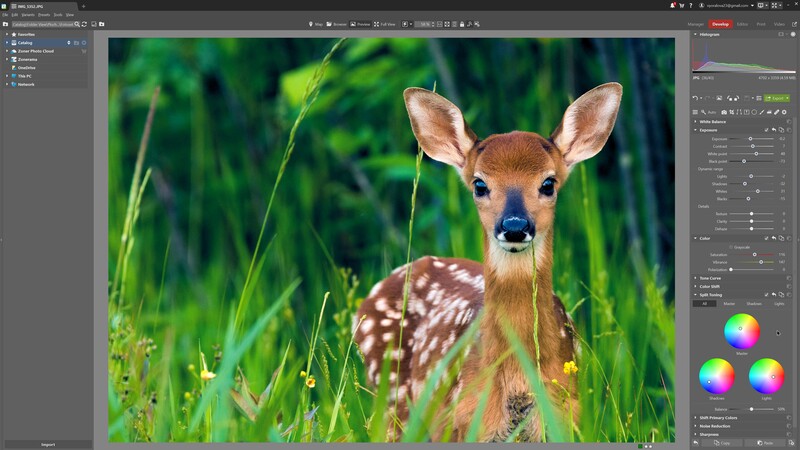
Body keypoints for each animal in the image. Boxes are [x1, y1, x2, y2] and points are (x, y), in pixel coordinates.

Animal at [353, 83, 622, 442]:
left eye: (548, 183)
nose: (515, 227)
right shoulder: (464, 423)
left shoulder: (571, 417)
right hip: (391, 402)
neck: (517, 379)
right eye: (480, 184)